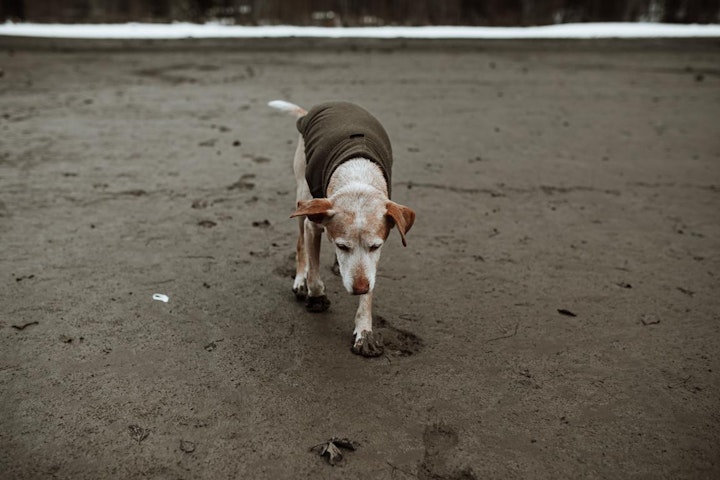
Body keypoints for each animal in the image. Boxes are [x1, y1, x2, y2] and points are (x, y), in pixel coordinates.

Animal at [268, 101, 416, 356]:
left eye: (375, 246)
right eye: (342, 245)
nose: (359, 288)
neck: (356, 177)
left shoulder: (374, 257)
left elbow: (369, 291)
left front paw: (364, 331)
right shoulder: (312, 224)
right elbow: (314, 274)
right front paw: (316, 297)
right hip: (302, 193)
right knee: (300, 245)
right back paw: (300, 279)